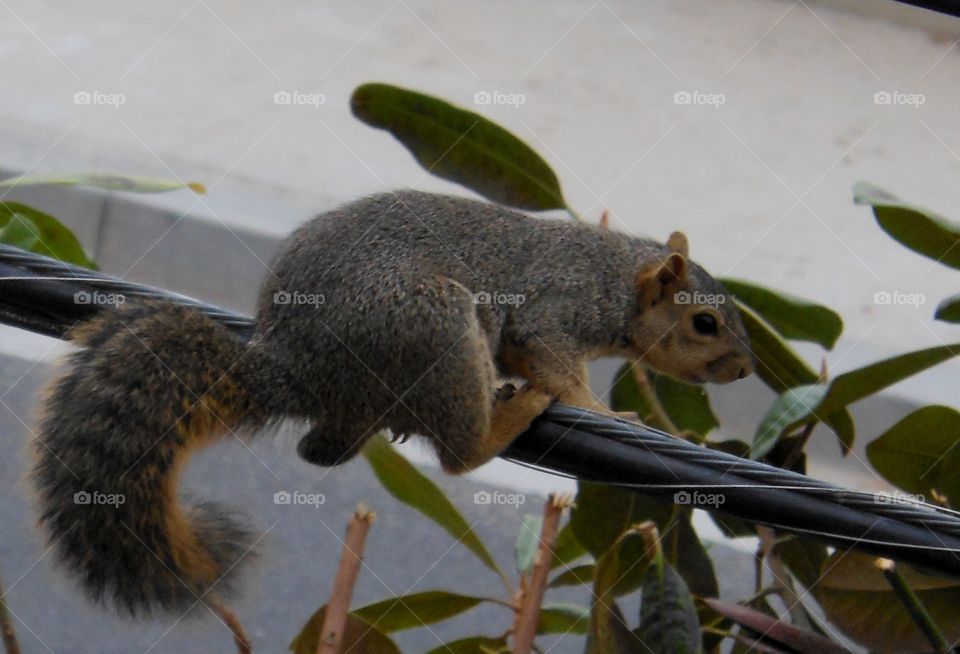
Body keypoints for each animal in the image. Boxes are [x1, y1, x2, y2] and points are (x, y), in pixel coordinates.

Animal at [30, 188, 752, 616]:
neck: (619, 277)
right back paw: (503, 419)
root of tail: (293, 366)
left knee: (321, 449)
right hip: (434, 324)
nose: (746, 368)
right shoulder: (556, 309)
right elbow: (553, 361)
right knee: (459, 455)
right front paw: (606, 413)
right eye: (705, 323)